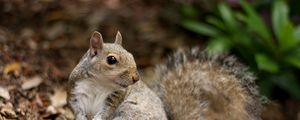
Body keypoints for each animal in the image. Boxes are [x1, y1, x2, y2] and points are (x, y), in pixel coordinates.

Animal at [68, 30, 262, 119]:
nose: (136, 78)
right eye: (111, 60)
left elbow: (105, 112)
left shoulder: (114, 98)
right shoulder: (76, 92)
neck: (99, 84)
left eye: (132, 55)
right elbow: (78, 110)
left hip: (130, 111)